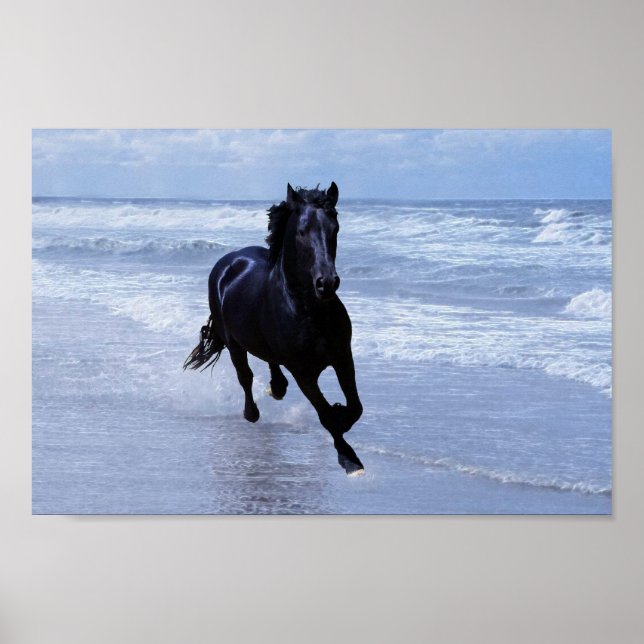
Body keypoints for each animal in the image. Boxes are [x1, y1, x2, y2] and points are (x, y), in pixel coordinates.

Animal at [183, 182, 364, 475]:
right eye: (302, 231)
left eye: (335, 228)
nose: (327, 283)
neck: (308, 310)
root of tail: (228, 262)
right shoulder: (303, 372)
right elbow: (325, 414)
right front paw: (350, 460)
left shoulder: (342, 357)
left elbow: (355, 407)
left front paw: (342, 417)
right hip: (233, 342)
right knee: (244, 376)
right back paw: (251, 412)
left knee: (270, 362)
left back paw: (276, 388)